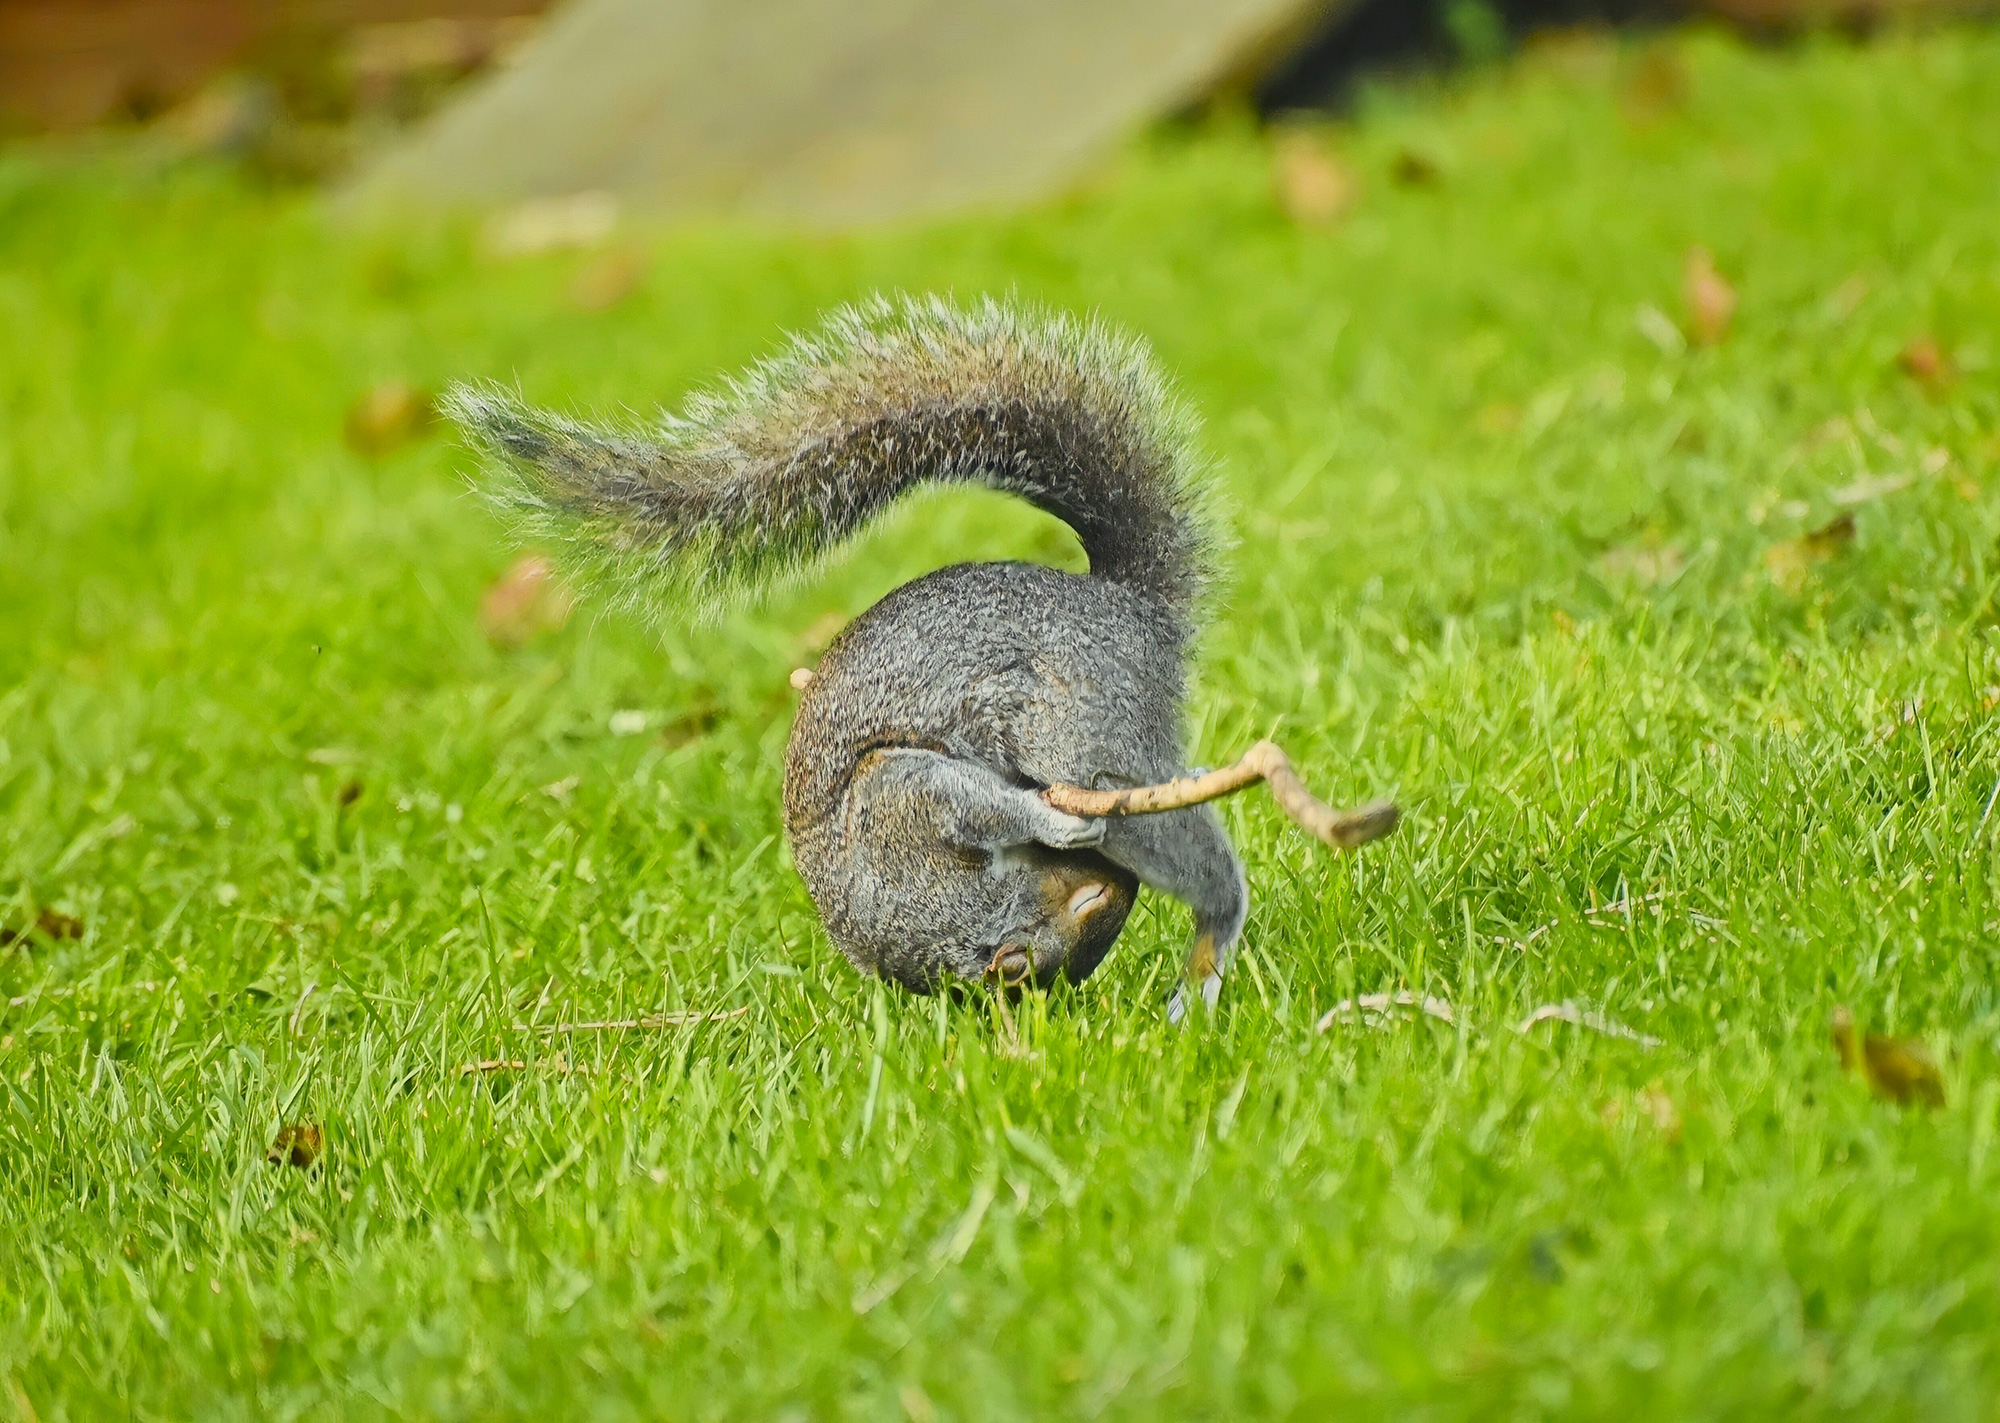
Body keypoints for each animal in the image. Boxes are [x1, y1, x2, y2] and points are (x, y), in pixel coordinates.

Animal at [450, 293, 1248, 1015]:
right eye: (1085, 920)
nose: (1114, 886)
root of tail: (1131, 607)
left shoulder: (902, 803)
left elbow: (974, 800)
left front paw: (1053, 822)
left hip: (1080, 732)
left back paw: (1208, 947)